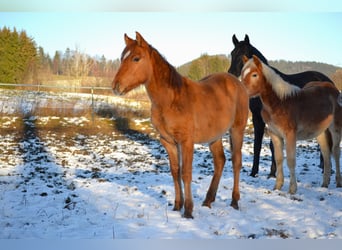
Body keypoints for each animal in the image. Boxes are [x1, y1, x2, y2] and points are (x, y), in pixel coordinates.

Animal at [112, 31, 248, 219]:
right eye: (122, 57)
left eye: (136, 58)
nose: (115, 86)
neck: (171, 100)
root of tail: (237, 82)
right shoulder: (168, 142)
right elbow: (175, 172)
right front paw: (177, 205)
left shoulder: (186, 142)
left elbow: (186, 173)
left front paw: (188, 211)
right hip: (215, 136)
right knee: (220, 161)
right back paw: (208, 200)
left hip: (237, 130)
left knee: (236, 161)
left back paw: (234, 201)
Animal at [227, 34, 334, 178]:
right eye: (232, 53)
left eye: (244, 54)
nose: (231, 73)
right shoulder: (257, 118)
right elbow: (260, 145)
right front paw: (259, 172)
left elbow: (269, 145)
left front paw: (269, 172)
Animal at [242, 55, 340, 194]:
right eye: (242, 73)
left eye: (254, 74)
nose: (241, 91)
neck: (280, 103)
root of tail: (333, 88)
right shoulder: (275, 135)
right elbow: (278, 159)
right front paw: (277, 186)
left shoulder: (290, 135)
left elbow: (290, 160)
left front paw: (292, 189)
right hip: (321, 132)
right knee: (326, 153)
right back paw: (325, 184)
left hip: (335, 128)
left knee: (336, 151)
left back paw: (338, 182)